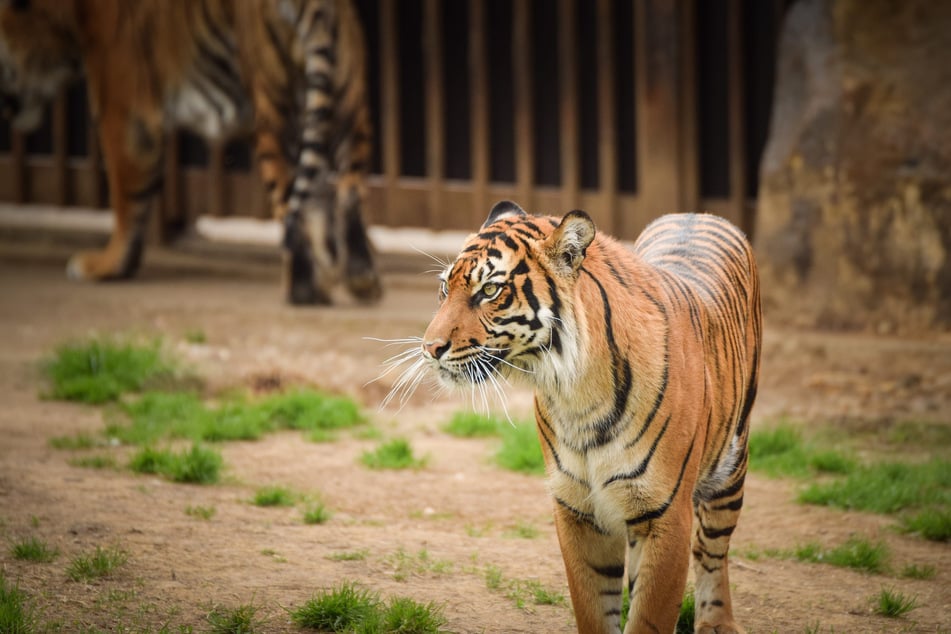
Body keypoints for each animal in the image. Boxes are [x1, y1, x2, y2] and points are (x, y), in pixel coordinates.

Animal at [0, 0, 381, 305]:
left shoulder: (124, 113)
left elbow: (125, 199)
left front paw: (107, 265)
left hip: (276, 110)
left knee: (297, 207)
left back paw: (302, 291)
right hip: (346, 103)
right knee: (347, 190)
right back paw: (359, 281)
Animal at [390, 201, 761, 633]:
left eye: (490, 290)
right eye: (444, 288)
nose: (429, 348)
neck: (577, 393)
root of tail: (697, 213)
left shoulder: (666, 515)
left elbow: (648, 616)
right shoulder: (578, 511)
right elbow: (594, 610)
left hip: (730, 471)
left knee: (711, 551)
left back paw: (718, 622)